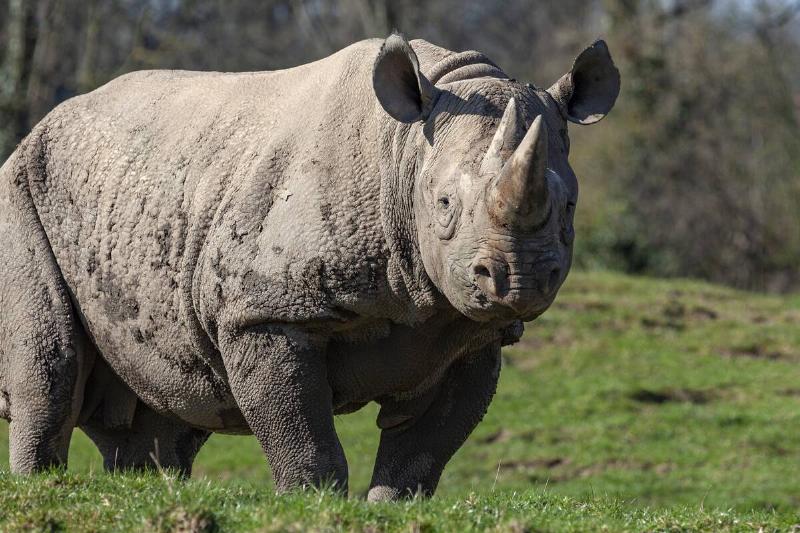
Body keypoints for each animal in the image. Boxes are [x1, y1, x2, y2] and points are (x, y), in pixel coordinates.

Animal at [0, 34, 618, 500]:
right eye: (443, 206)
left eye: (569, 208)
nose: (520, 279)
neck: (406, 153)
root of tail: (39, 129)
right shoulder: (263, 311)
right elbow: (302, 433)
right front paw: (312, 502)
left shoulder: (471, 332)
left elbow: (422, 451)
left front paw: (389, 507)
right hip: (20, 188)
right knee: (51, 366)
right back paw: (41, 488)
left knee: (167, 407)